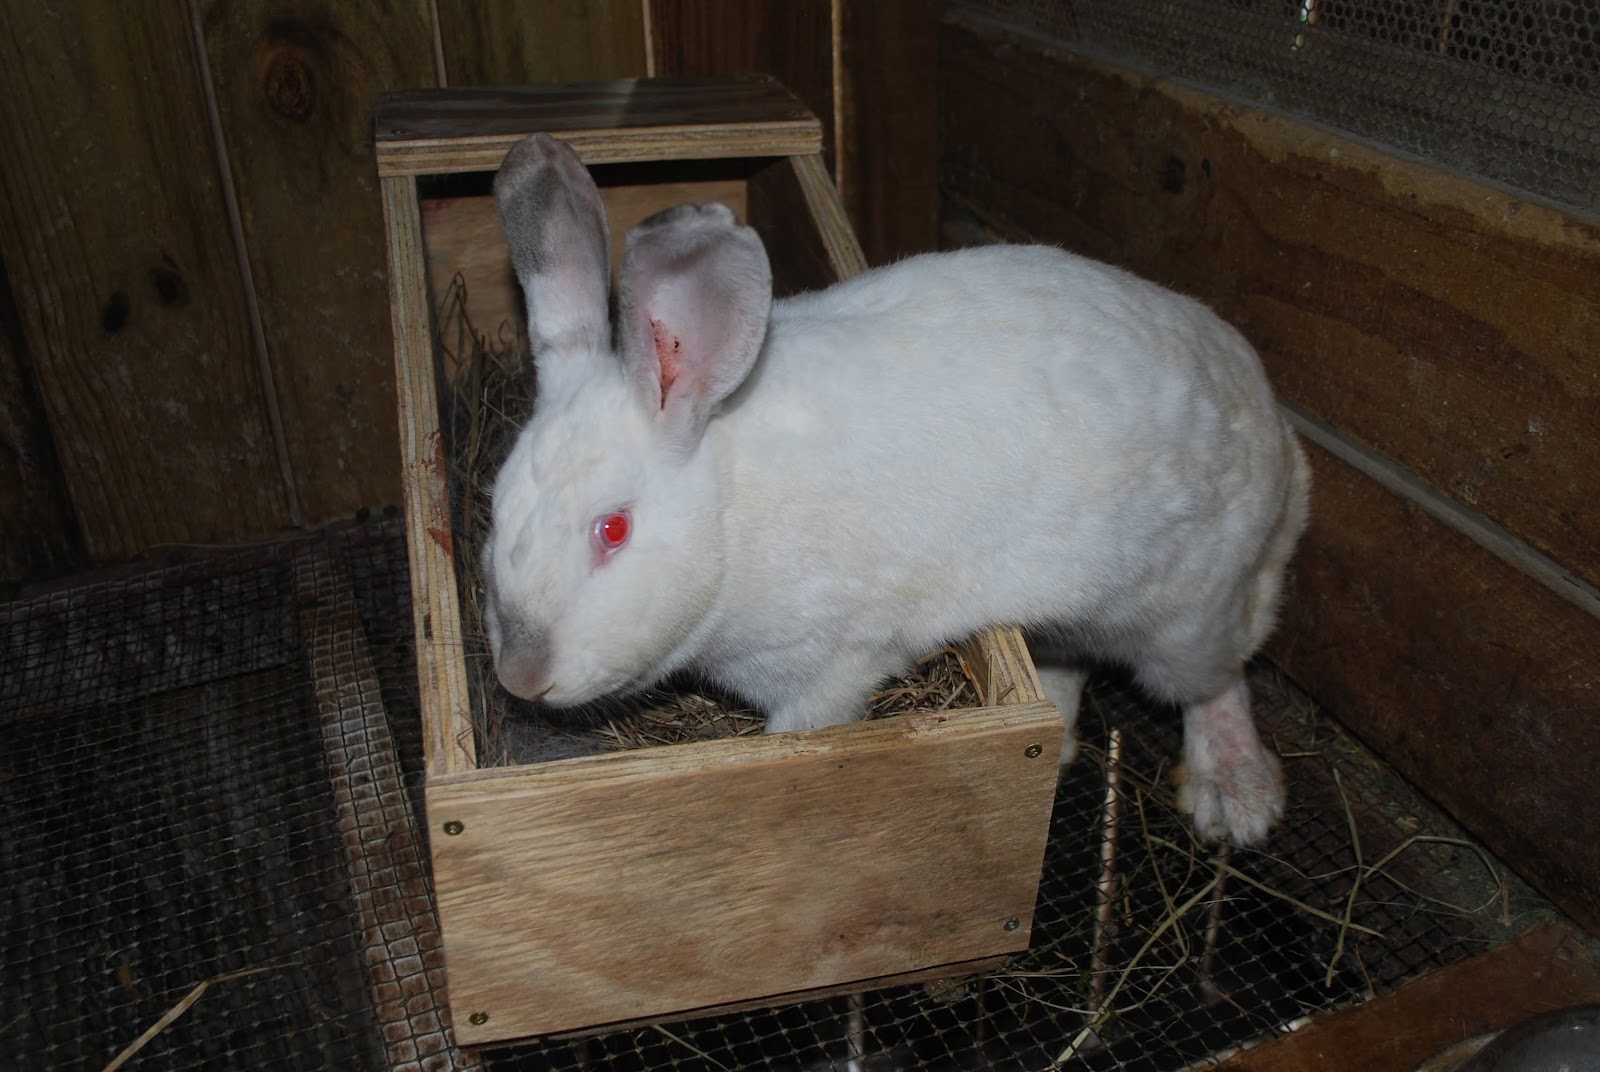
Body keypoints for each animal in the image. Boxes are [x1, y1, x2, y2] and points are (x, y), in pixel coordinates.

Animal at [482, 133, 1310, 846]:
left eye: (613, 529)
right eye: (495, 507)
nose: (522, 677)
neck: (731, 504)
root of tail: (1284, 444)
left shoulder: (835, 661)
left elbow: (803, 727)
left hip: (1190, 615)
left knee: (1218, 678)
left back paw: (1237, 797)